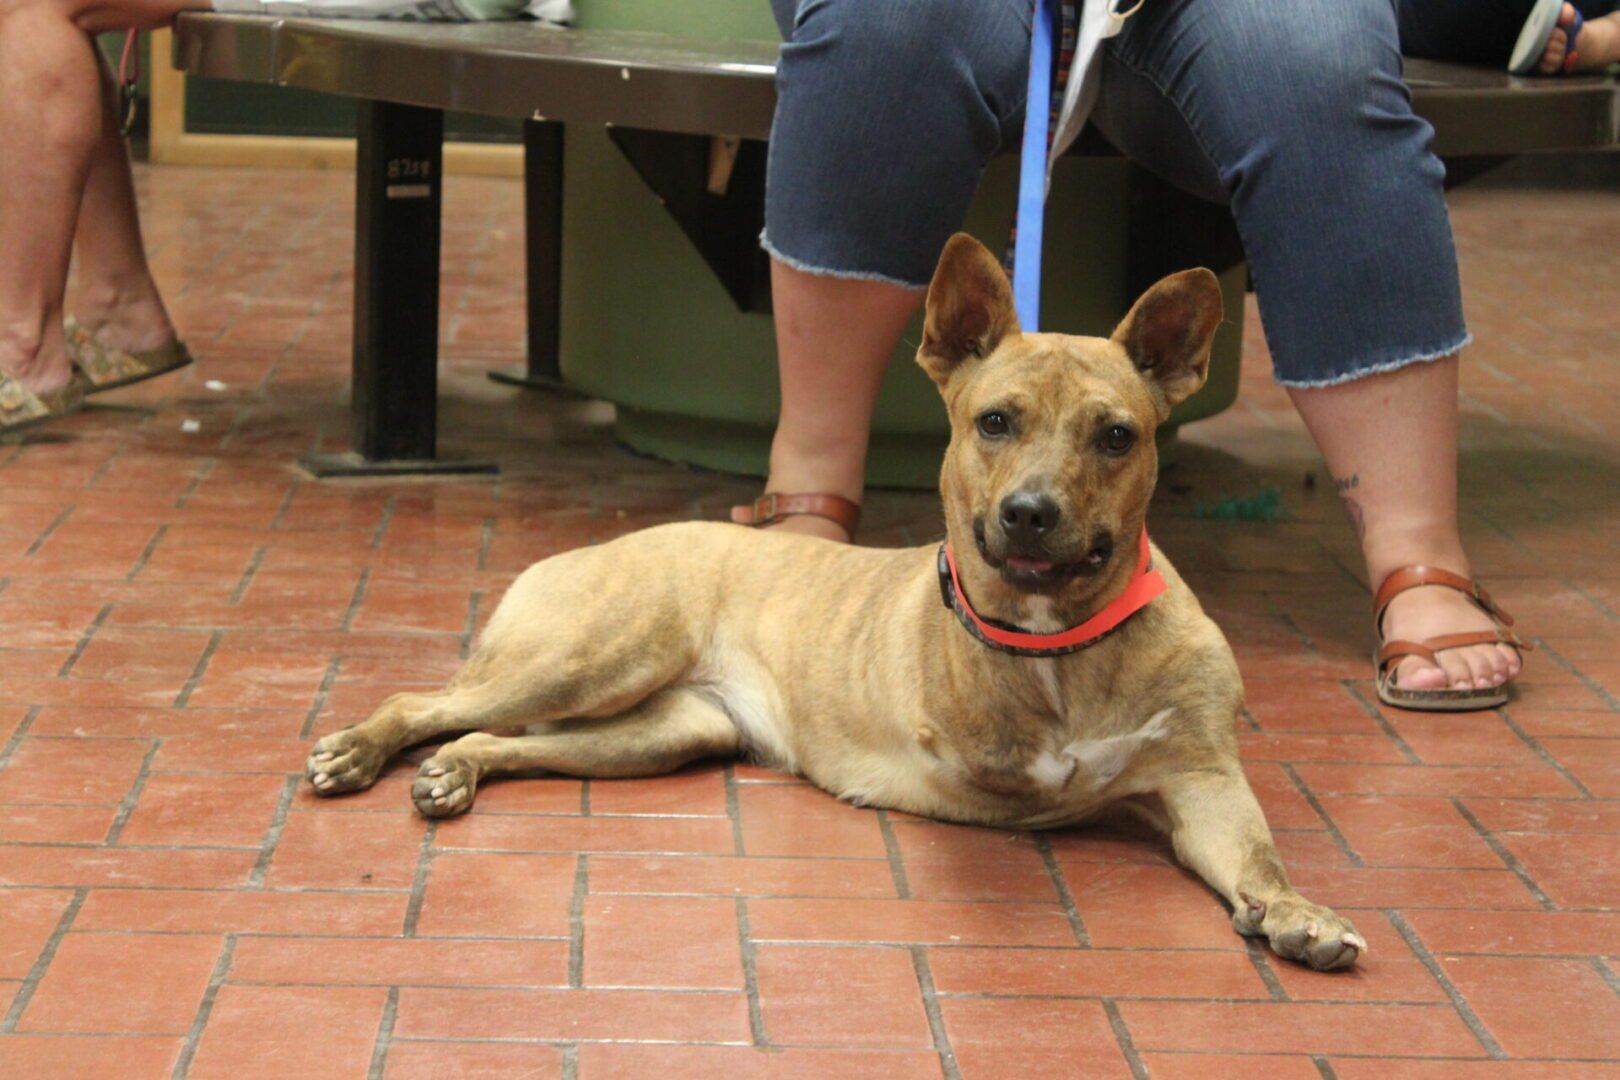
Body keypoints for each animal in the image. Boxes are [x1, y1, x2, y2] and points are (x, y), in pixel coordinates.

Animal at [306, 233, 1364, 971]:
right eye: (994, 422)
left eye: (1116, 436)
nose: (1028, 515)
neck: (1068, 643)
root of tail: (601, 543)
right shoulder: (982, 745)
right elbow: (1027, 758)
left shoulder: (1203, 784)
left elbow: (1260, 858)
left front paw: (1292, 912)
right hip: (592, 659)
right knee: (423, 702)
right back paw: (357, 749)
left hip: (662, 732)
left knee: (500, 740)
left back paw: (457, 772)